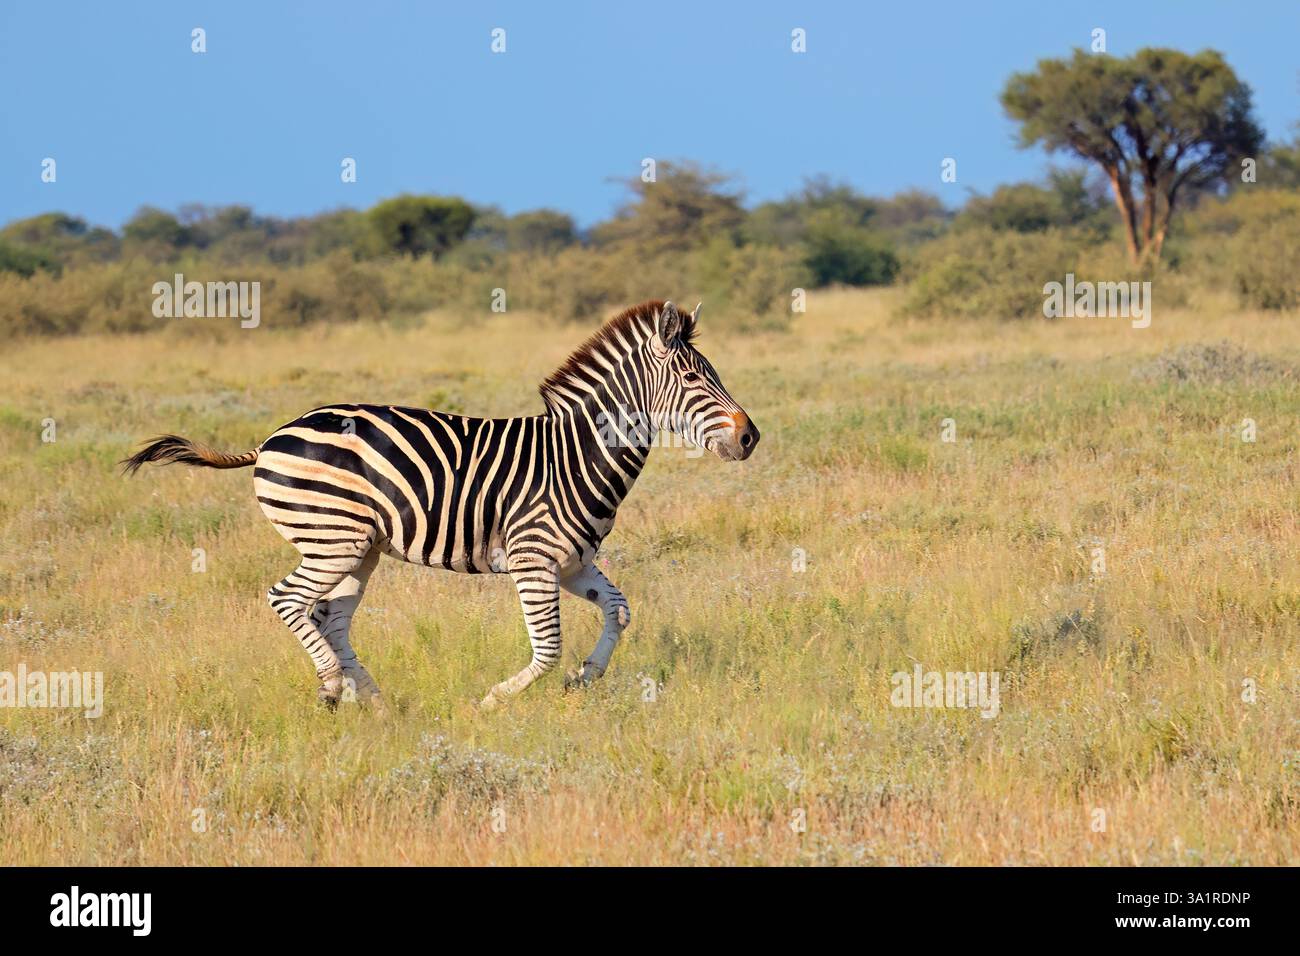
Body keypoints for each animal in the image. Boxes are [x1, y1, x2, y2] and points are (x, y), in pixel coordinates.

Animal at [122, 300, 760, 709]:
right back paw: (332, 687)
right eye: (692, 379)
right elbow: (548, 648)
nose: (751, 438)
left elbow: (620, 612)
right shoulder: (533, 560)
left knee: (331, 618)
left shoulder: (573, 562)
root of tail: (272, 436)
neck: (576, 454)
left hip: (360, 549)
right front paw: (494, 700)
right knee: (288, 599)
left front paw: (586, 679)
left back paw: (376, 704)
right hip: (333, 540)